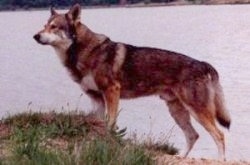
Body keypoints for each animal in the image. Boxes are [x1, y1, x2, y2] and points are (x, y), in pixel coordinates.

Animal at [33, 3, 230, 160]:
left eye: (54, 27)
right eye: (44, 26)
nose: (35, 36)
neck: (84, 52)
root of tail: (203, 64)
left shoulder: (112, 92)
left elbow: (110, 124)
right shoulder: (96, 99)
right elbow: (99, 124)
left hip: (197, 111)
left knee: (219, 135)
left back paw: (220, 160)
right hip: (177, 111)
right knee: (193, 135)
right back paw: (181, 157)